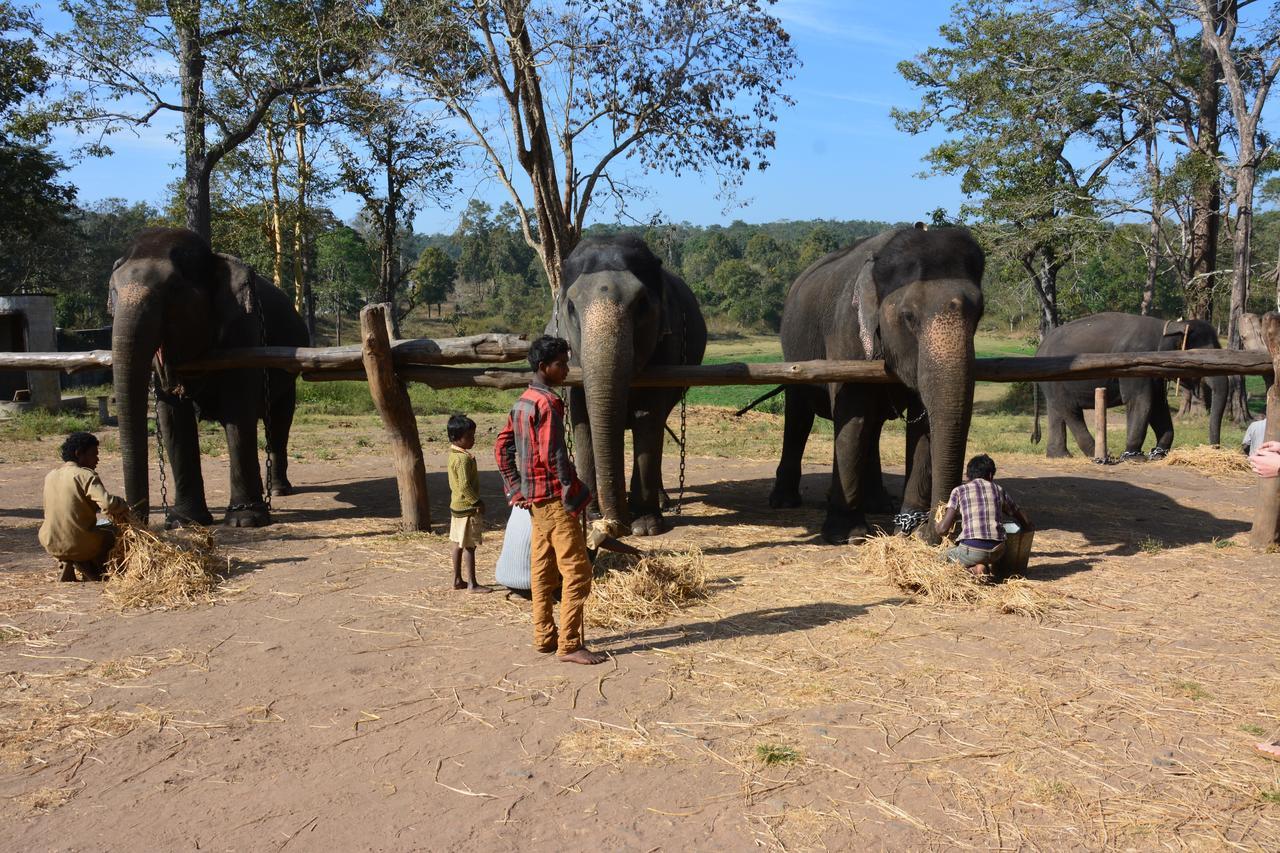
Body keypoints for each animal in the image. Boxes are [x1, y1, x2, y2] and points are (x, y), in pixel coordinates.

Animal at [110, 225, 309, 525]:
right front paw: (184, 521)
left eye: (174, 291)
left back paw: (278, 490)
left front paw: (245, 520)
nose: (135, 522)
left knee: (279, 421)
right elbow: (173, 419)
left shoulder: (245, 332)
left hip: (288, 371)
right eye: (113, 290)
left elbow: (238, 413)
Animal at [550, 233, 711, 535]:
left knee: (658, 421)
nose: (615, 525)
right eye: (570, 307)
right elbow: (581, 418)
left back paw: (662, 503)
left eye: (642, 303)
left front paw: (645, 526)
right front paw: (590, 514)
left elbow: (648, 416)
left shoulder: (668, 346)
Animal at [762, 225, 983, 540]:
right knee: (799, 416)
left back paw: (879, 504)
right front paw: (848, 535)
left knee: (874, 426)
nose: (932, 529)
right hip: (793, 353)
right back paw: (784, 502)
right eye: (908, 316)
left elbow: (924, 423)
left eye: (980, 313)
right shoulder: (845, 331)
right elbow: (852, 416)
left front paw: (908, 530)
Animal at [1029, 311, 1228, 458]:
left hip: (1051, 383)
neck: (1169, 326)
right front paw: (1135, 456)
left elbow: (1158, 405)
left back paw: (1060, 456)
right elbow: (1141, 401)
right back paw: (1101, 455)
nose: (1214, 449)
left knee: (1056, 410)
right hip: (1059, 379)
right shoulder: (1136, 364)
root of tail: (1038, 349)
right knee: (1070, 409)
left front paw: (1158, 454)